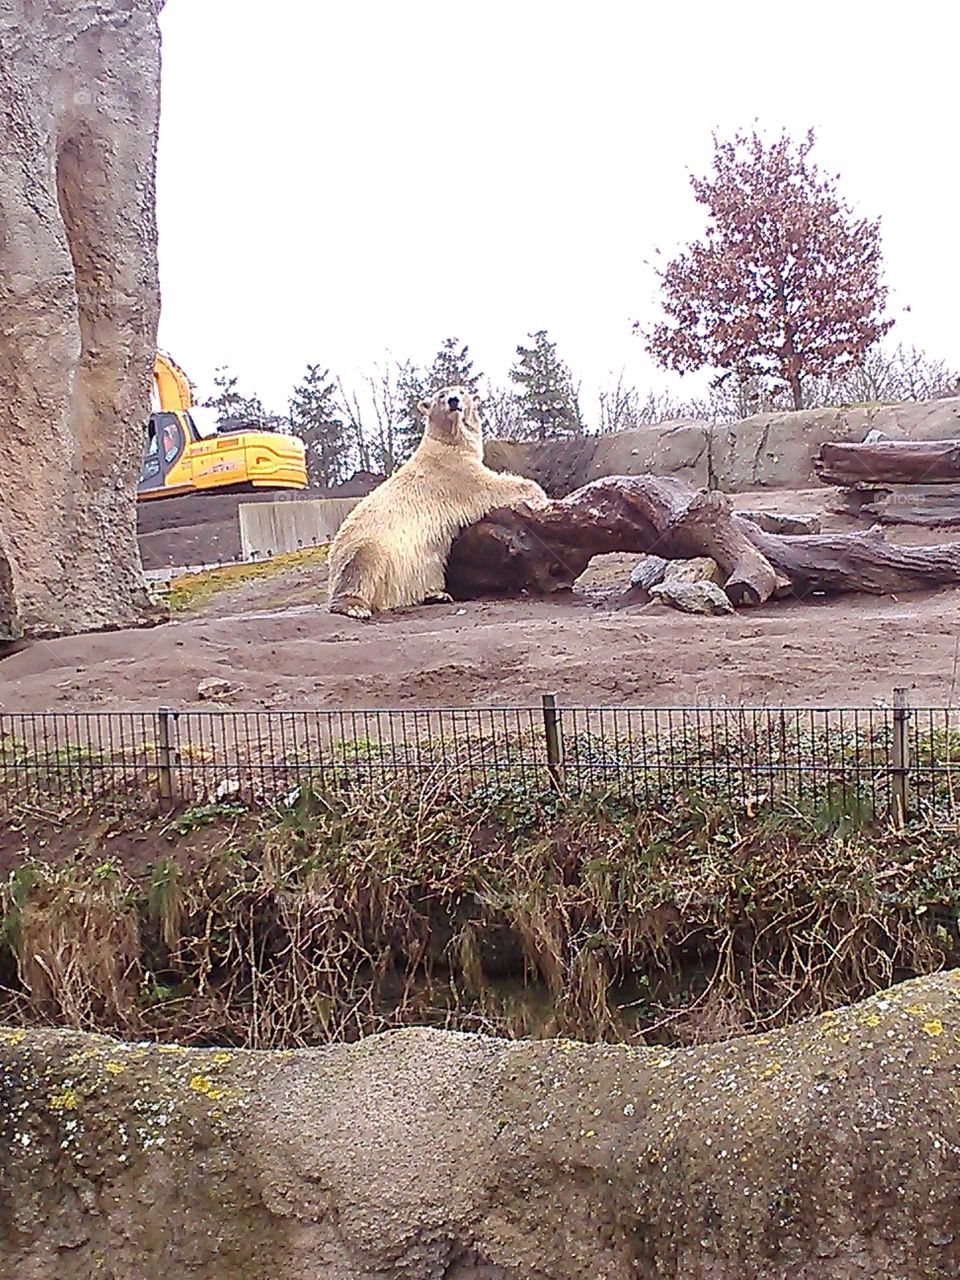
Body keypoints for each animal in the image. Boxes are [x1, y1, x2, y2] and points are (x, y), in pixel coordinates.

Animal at [328, 385, 548, 618]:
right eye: (441, 395)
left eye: (462, 391)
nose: (453, 400)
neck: (447, 442)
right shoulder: (455, 472)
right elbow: (491, 486)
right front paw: (538, 494)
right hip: (366, 545)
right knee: (364, 561)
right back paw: (353, 606)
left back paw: (436, 595)